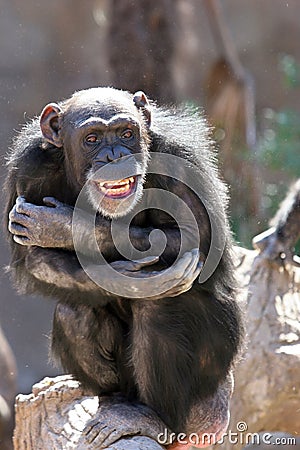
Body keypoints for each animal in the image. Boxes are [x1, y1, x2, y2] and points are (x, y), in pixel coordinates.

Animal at [5, 86, 243, 448]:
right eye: (92, 139)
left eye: (126, 133)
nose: (115, 155)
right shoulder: (28, 167)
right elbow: (34, 260)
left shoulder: (182, 158)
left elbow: (198, 235)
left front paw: (63, 225)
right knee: (74, 312)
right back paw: (115, 402)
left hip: (214, 371)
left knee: (159, 309)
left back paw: (150, 417)